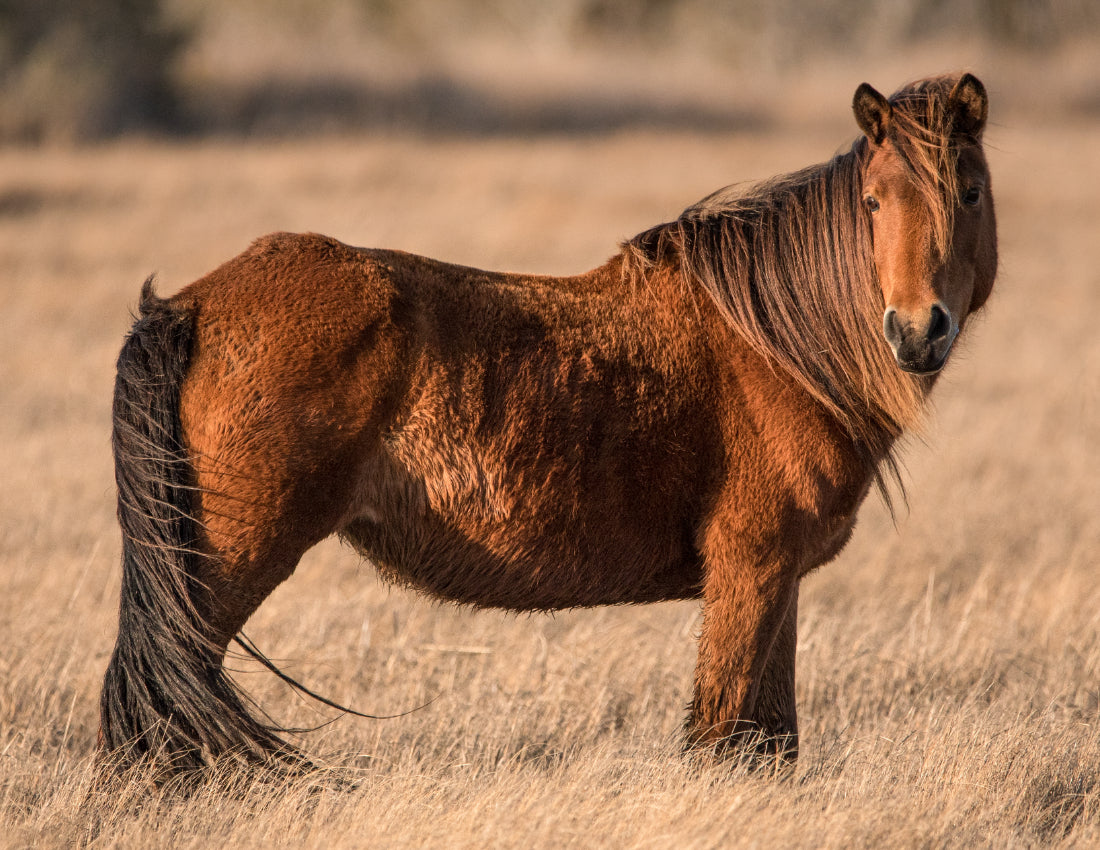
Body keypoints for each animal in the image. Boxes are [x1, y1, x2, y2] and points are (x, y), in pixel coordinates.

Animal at [99, 73, 997, 777]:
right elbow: (722, 738)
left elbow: (770, 742)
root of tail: (193, 306)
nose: (916, 330)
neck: (775, 345)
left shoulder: (779, 583)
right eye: (873, 202)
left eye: (970, 193)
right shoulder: (753, 569)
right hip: (224, 568)